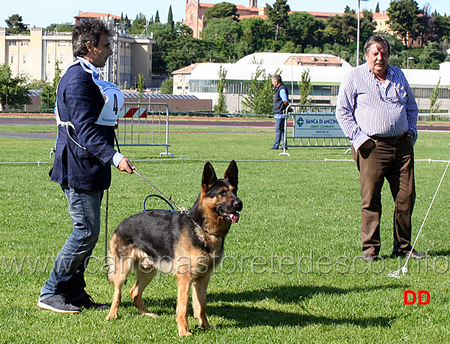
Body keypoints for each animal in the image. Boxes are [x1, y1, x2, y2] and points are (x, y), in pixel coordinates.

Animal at [106, 161, 243, 336]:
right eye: (222, 193)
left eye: (235, 190)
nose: (239, 204)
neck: (202, 228)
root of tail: (120, 224)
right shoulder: (185, 278)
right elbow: (183, 308)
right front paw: (184, 332)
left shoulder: (203, 278)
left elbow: (201, 306)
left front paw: (205, 326)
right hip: (124, 269)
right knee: (118, 292)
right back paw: (112, 315)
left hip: (149, 271)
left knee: (134, 292)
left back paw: (147, 313)